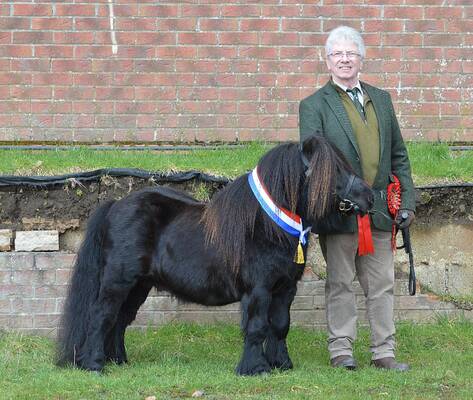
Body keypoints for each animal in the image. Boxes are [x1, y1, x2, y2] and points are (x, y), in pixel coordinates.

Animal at [56, 137, 372, 376]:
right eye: (332, 171)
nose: (369, 196)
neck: (265, 226)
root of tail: (116, 205)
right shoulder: (258, 290)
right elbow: (257, 327)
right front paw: (255, 368)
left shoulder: (285, 290)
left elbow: (280, 326)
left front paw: (281, 364)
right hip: (118, 282)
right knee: (102, 316)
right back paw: (94, 365)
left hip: (139, 286)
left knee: (120, 320)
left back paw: (118, 360)